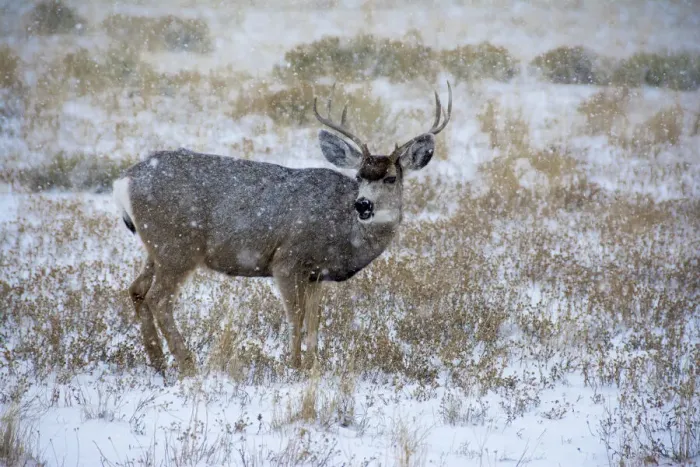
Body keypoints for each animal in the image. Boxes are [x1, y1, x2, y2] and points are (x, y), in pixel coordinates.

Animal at [113, 83, 452, 376]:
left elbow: (315, 320)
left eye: (391, 178)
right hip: (178, 247)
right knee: (159, 298)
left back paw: (158, 361)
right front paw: (294, 366)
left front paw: (314, 365)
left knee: (137, 289)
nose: (363, 205)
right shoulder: (287, 260)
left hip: (157, 248)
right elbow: (296, 316)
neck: (342, 233)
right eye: (359, 176)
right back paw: (187, 364)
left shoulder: (317, 273)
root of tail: (124, 180)